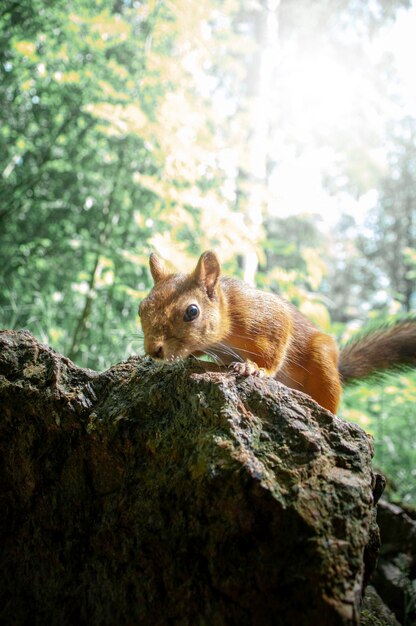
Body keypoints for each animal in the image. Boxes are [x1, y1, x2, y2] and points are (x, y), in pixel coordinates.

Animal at [139, 249, 416, 414]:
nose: (153, 350)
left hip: (323, 363)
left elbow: (275, 348)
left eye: (192, 312)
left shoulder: (267, 317)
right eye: (141, 308)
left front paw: (254, 368)